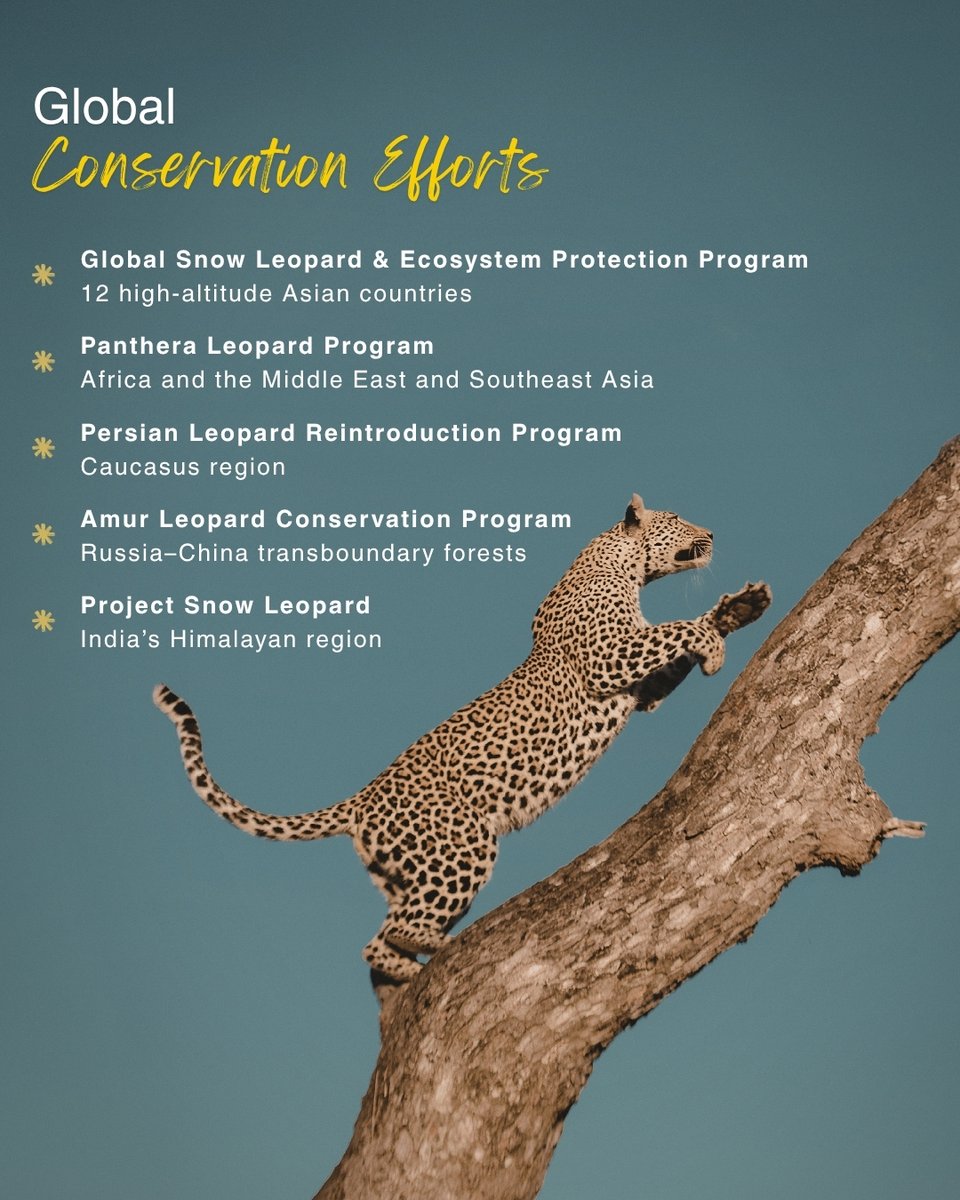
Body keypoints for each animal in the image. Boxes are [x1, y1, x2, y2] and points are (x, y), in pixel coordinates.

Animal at [154, 494, 770, 982]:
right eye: (677, 517)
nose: (712, 534)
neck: (624, 566)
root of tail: (363, 799)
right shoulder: (607, 657)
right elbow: (677, 630)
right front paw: (714, 644)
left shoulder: (639, 683)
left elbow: (679, 645)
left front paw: (737, 610)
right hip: (461, 845)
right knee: (399, 931)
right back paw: (446, 945)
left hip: (406, 869)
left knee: (376, 941)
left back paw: (412, 971)